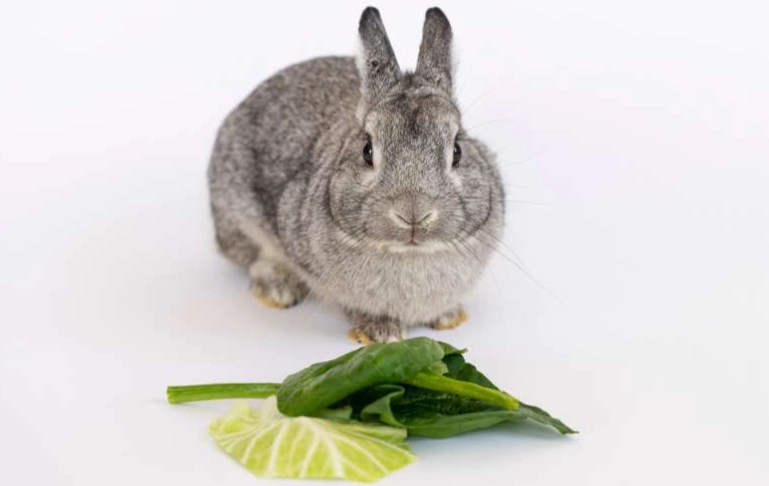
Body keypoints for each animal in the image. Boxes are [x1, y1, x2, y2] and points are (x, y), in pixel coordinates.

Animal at [208, 7, 505, 344]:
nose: (413, 215)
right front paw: (381, 333)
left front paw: (448, 317)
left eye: (457, 151)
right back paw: (278, 289)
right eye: (367, 151)